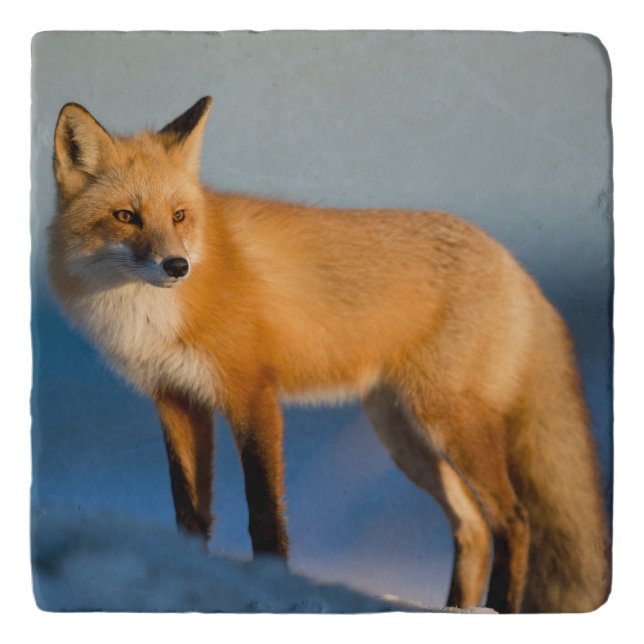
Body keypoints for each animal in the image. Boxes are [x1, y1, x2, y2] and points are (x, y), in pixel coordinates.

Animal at [47, 96, 610, 613]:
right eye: (126, 217)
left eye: (179, 216)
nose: (177, 266)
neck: (149, 315)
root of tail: (514, 264)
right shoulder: (176, 400)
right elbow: (190, 514)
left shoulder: (252, 393)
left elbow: (264, 511)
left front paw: (273, 586)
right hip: (405, 437)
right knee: (472, 528)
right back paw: (458, 608)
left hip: (448, 422)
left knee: (514, 521)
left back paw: (499, 607)